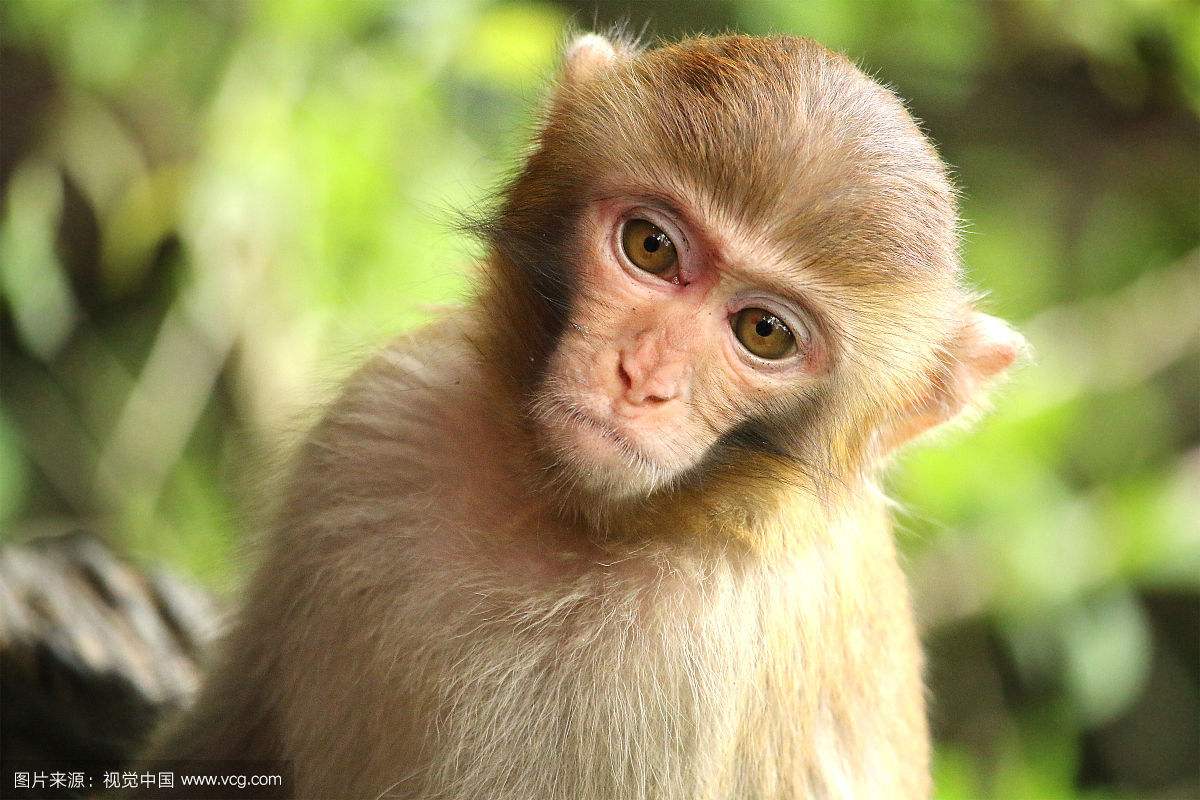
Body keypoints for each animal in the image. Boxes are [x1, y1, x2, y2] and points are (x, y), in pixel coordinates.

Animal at [140, 32, 1022, 800]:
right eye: (651, 247)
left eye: (764, 333)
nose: (641, 379)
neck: (565, 517)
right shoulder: (378, 419)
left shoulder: (688, 667)